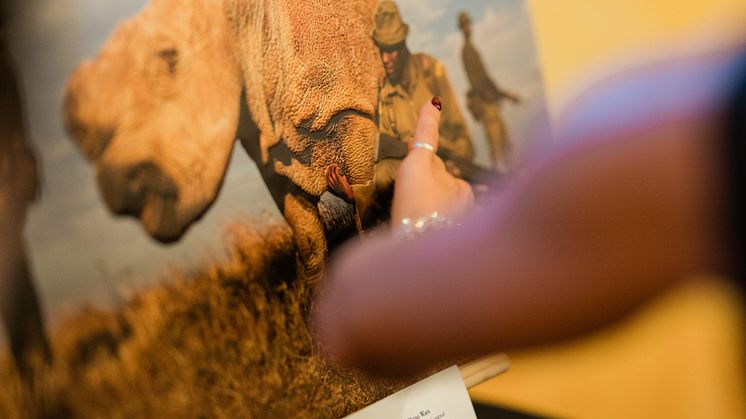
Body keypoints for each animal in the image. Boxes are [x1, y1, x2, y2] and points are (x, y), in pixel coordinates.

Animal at [64, 0, 384, 282]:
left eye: (170, 58)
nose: (121, 194)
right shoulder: (269, 150)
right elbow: (309, 241)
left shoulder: (353, 108)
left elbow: (367, 206)